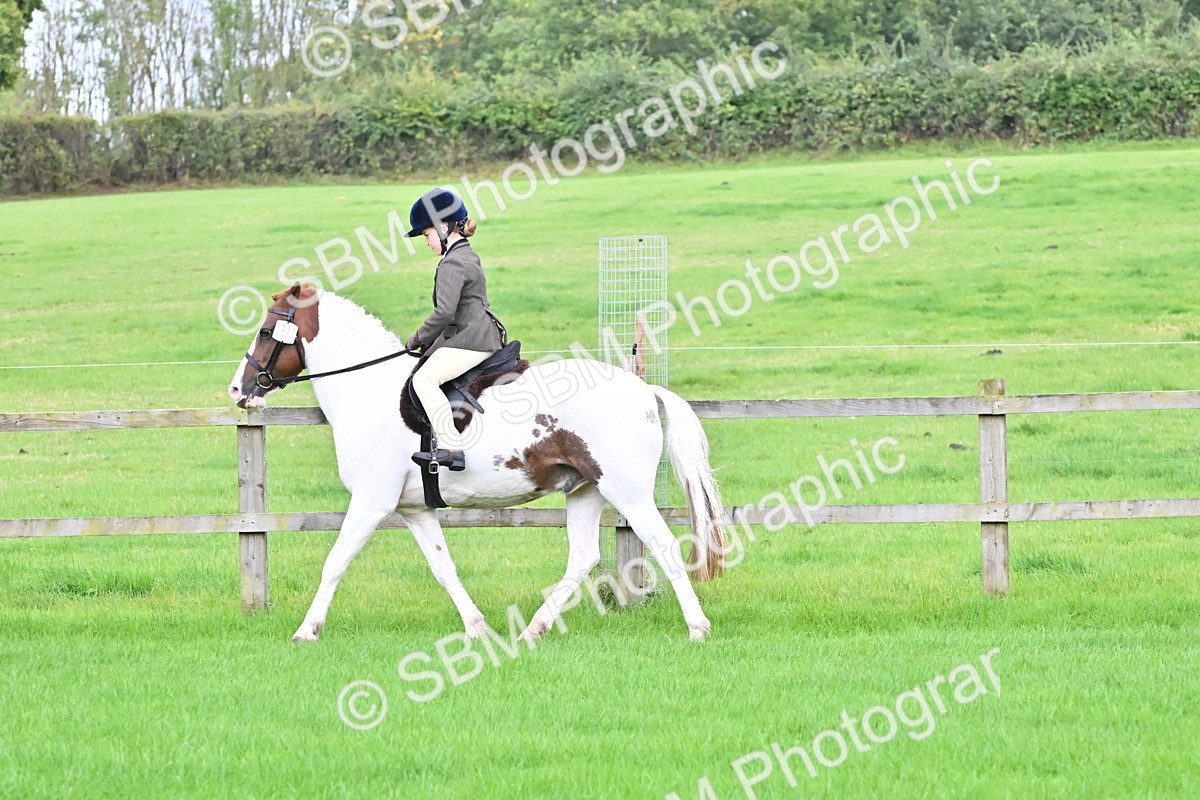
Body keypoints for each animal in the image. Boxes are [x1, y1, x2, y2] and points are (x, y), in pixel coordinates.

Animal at [227, 284, 726, 642]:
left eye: (267, 332)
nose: (238, 389)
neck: (369, 392)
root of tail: (644, 390)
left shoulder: (371, 501)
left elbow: (335, 561)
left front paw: (306, 631)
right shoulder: (414, 509)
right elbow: (443, 568)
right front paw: (478, 628)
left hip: (627, 491)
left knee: (663, 546)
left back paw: (698, 628)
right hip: (586, 490)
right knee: (582, 558)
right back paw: (532, 630)